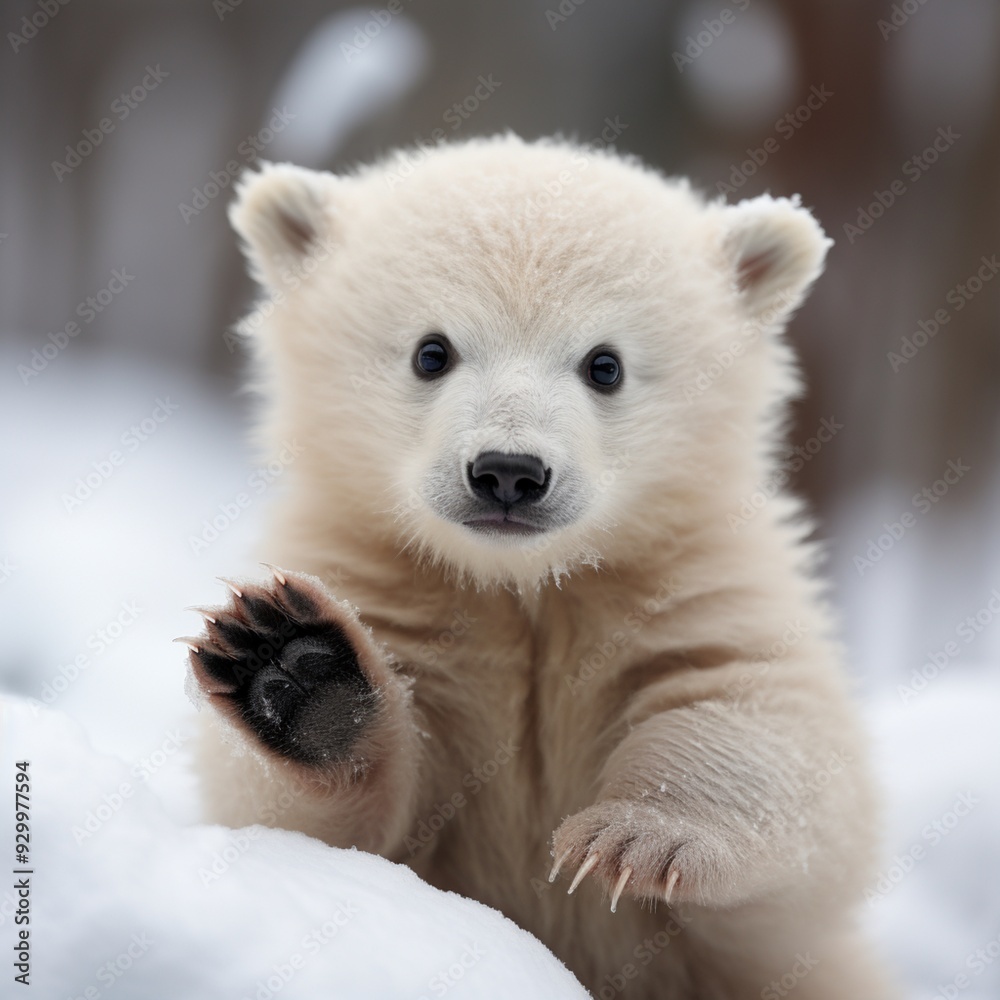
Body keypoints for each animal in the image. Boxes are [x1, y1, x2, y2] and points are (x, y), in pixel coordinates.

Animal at [181, 135, 897, 998]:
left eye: (605, 364)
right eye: (431, 351)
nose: (508, 473)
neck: (524, 585)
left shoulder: (688, 581)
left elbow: (760, 721)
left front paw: (633, 839)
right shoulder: (378, 572)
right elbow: (295, 825)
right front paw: (293, 668)